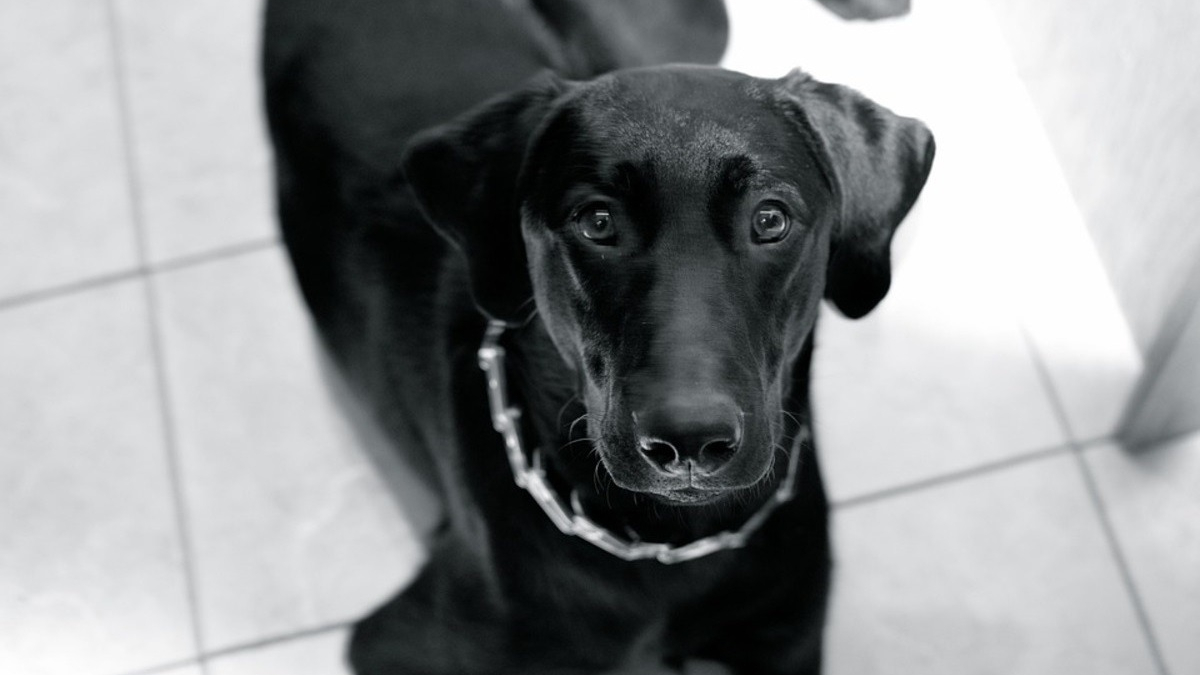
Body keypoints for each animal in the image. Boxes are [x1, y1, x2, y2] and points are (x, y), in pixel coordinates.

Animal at [267, 2, 931, 667]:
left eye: (770, 219)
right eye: (597, 221)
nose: (689, 442)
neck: (671, 546)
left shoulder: (787, 636)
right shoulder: (403, 645)